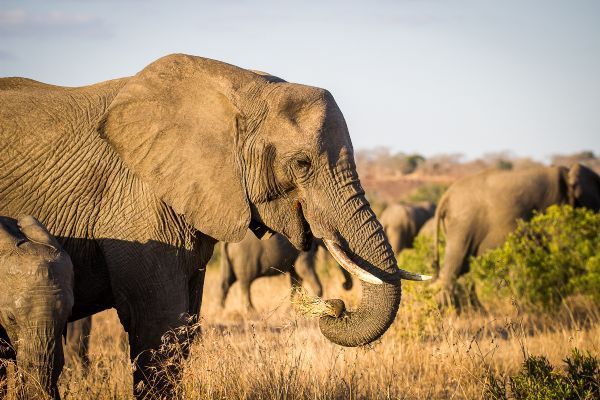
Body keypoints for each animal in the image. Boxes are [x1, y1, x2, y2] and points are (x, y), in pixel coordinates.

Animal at [219, 231, 352, 312]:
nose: (344, 285)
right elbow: (303, 270)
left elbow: (296, 279)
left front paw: (292, 310)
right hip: (244, 258)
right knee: (245, 283)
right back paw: (251, 312)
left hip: (228, 260)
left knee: (227, 282)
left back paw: (222, 310)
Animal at [432, 164, 600, 308]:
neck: (569, 172)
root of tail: (446, 195)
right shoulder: (556, 205)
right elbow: (559, 246)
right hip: (463, 224)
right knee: (456, 265)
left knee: (465, 270)